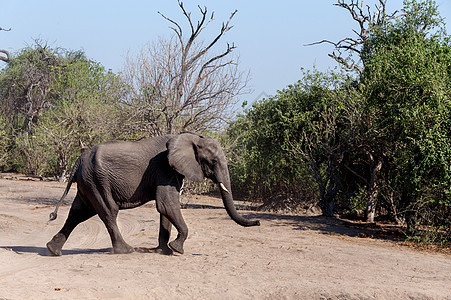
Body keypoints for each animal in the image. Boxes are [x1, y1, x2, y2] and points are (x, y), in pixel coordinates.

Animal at [46, 132, 262, 256]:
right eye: (213, 161)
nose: (258, 222)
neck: (192, 138)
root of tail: (78, 160)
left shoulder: (171, 171)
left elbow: (166, 209)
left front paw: (164, 251)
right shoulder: (164, 168)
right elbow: (166, 204)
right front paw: (177, 250)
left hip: (88, 182)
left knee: (78, 212)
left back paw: (52, 250)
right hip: (96, 180)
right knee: (108, 211)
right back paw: (126, 251)